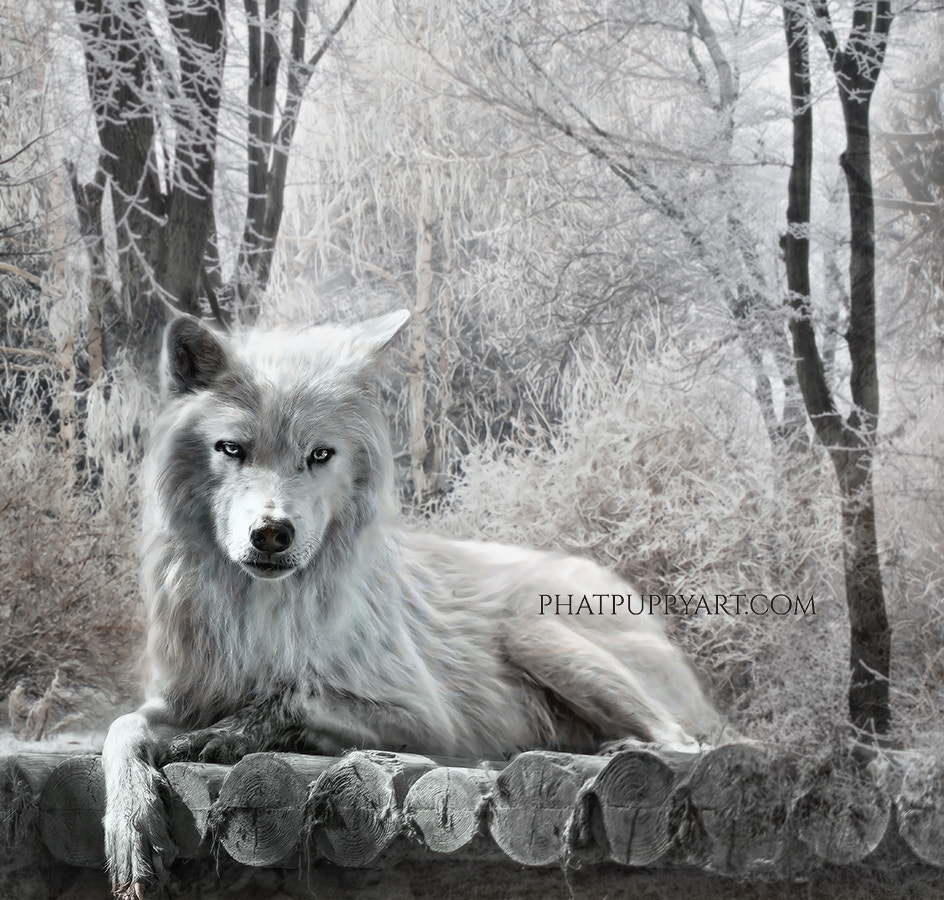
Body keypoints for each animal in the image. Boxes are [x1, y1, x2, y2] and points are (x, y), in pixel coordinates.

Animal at [102, 311, 721, 897]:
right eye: (232, 449)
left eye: (319, 455)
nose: (272, 533)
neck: (262, 613)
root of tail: (615, 579)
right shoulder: (179, 696)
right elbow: (121, 730)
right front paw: (132, 835)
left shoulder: (428, 720)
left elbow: (293, 694)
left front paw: (230, 734)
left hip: (534, 632)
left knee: (685, 742)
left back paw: (605, 751)